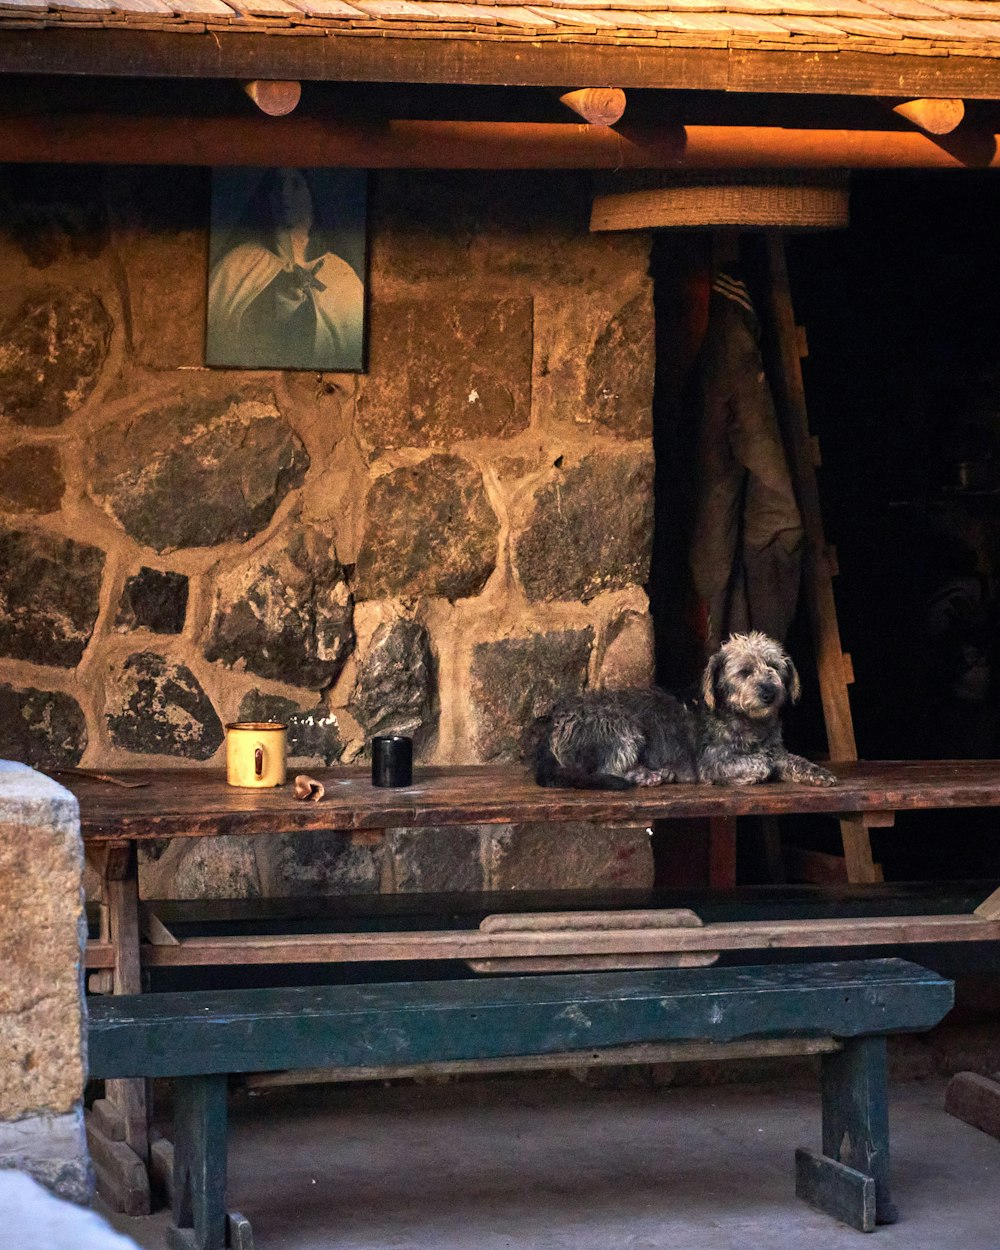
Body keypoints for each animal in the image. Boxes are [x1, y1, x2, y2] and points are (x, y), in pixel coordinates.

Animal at [535, 630, 840, 795]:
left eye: (774, 667)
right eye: (744, 672)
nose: (769, 693)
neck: (747, 721)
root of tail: (552, 726)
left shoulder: (777, 750)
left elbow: (792, 760)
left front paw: (818, 773)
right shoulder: (712, 763)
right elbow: (760, 763)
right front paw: (759, 769)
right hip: (622, 728)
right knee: (607, 769)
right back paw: (649, 775)